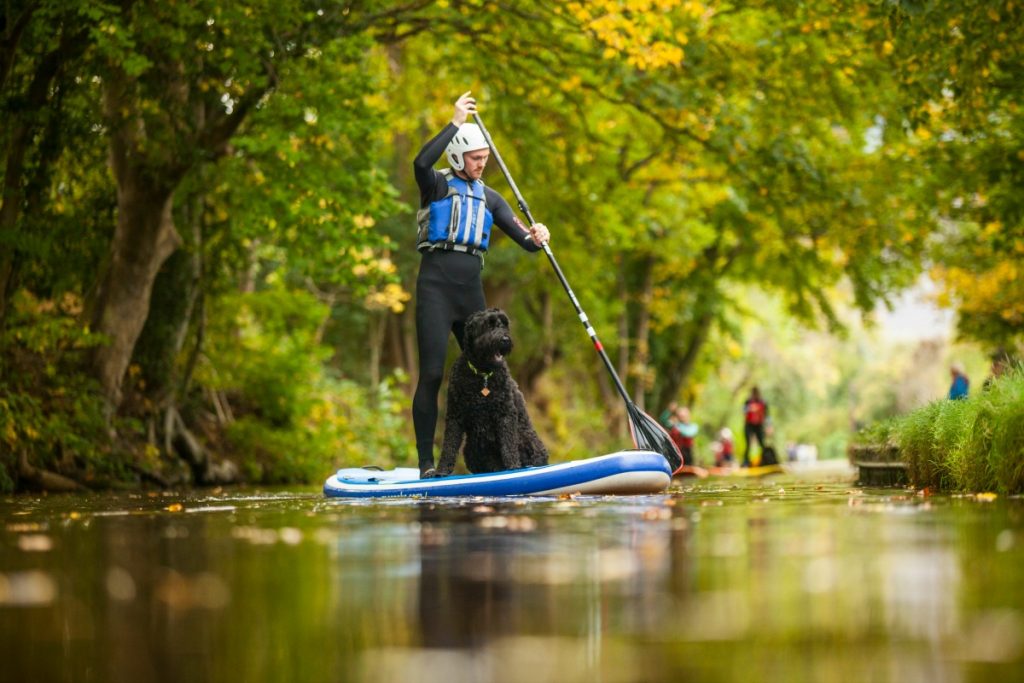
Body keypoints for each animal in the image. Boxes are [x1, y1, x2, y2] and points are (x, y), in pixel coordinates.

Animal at [423, 307, 548, 479]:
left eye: (504, 324)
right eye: (488, 325)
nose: (505, 339)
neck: (483, 375)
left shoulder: (506, 414)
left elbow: (508, 445)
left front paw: (513, 467)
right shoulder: (455, 415)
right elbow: (449, 445)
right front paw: (441, 471)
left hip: (526, 439)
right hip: (470, 450)